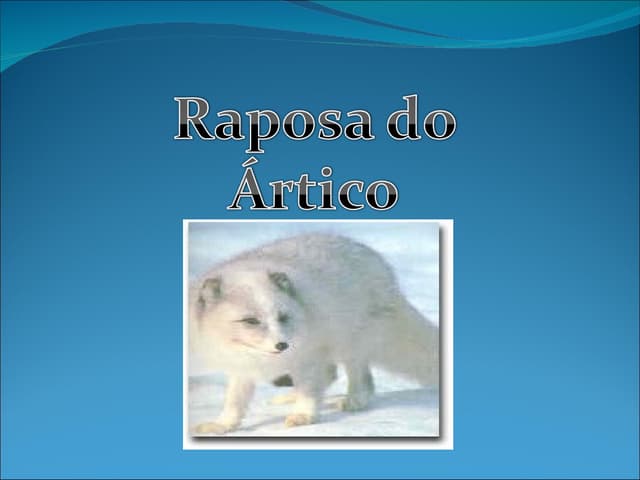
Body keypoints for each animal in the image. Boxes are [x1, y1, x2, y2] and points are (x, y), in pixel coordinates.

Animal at [189, 233, 438, 434]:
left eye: (282, 317)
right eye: (251, 321)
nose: (282, 345)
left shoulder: (309, 354)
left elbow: (309, 390)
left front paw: (304, 416)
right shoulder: (241, 365)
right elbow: (234, 400)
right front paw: (223, 425)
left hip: (350, 342)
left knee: (360, 377)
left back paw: (354, 400)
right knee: (329, 374)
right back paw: (289, 396)